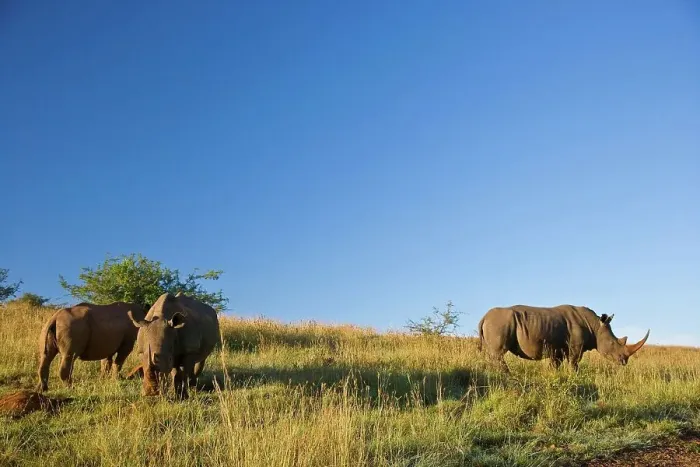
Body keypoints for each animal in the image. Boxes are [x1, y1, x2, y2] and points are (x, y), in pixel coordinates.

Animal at [478, 305, 649, 371]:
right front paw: (574, 376)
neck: (595, 326)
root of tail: (484, 317)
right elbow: (574, 364)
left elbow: (555, 365)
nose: (624, 362)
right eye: (613, 344)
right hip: (500, 323)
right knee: (498, 354)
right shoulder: (575, 348)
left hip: (496, 323)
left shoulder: (557, 350)